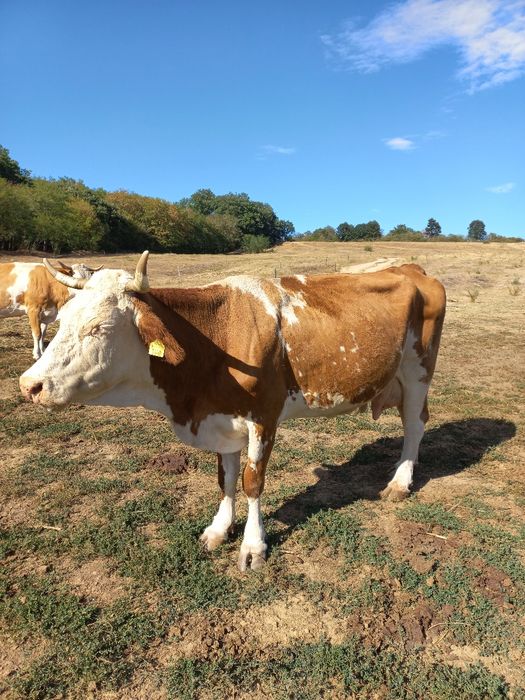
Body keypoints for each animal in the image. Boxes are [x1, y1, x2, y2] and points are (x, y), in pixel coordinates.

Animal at [20, 252, 446, 571]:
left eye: (99, 329)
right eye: (61, 320)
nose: (29, 385)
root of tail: (412, 269)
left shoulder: (264, 417)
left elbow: (252, 482)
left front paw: (253, 546)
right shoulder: (221, 420)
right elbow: (225, 481)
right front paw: (219, 529)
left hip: (418, 368)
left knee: (415, 424)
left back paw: (400, 482)